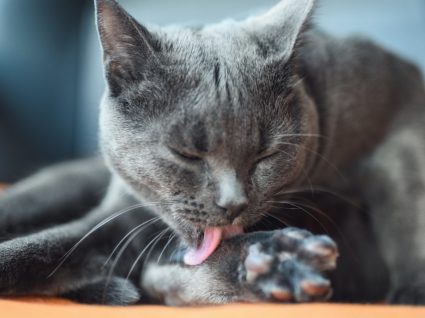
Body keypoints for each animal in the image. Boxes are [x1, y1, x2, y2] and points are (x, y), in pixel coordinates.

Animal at [0, 0, 424, 306]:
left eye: (265, 154)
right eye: (185, 154)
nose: (233, 203)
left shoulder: (397, 116)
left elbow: (405, 209)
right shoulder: (121, 220)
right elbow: (40, 250)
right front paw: (273, 262)